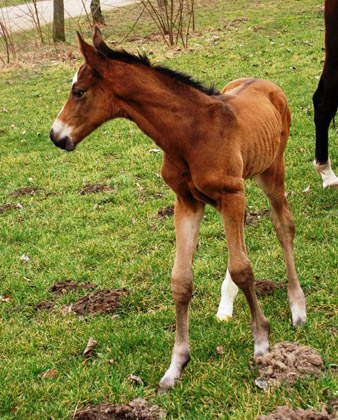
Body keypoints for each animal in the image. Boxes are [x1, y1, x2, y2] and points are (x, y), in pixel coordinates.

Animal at [50, 28, 306, 390]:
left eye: (79, 91)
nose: (56, 136)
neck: (190, 132)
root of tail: (266, 83)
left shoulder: (231, 194)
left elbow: (243, 268)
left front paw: (262, 345)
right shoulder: (187, 202)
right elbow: (181, 280)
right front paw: (176, 365)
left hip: (272, 171)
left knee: (284, 225)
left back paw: (298, 308)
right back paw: (226, 305)